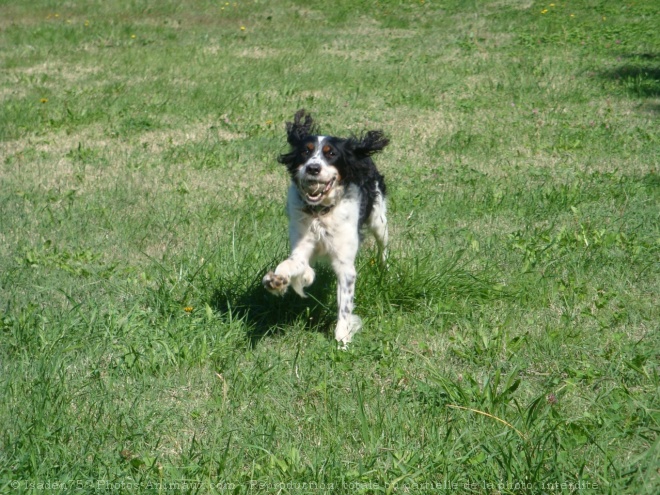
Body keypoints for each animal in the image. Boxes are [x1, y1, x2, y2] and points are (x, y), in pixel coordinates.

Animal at [262, 110, 390, 346]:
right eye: (305, 151)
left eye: (331, 154)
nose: (313, 168)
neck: (320, 213)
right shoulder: (302, 247)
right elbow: (292, 264)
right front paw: (276, 280)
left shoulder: (344, 264)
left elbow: (345, 304)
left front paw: (342, 338)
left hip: (379, 220)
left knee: (383, 246)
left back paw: (384, 270)